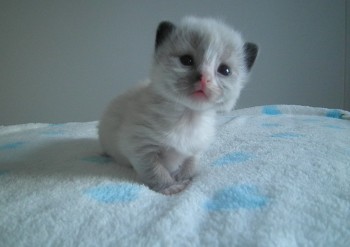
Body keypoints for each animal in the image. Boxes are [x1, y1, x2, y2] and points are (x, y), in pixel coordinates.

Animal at [98, 16, 258, 195]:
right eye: (186, 60)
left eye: (225, 70)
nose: (204, 79)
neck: (188, 116)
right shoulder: (141, 147)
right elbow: (157, 171)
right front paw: (171, 188)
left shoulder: (195, 150)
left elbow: (190, 166)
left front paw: (185, 180)